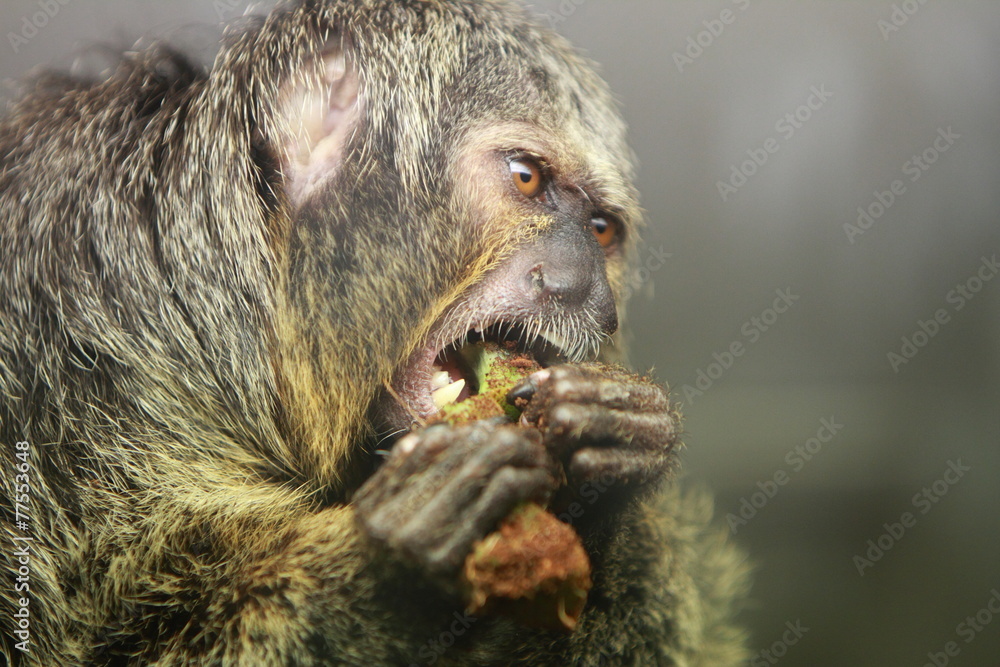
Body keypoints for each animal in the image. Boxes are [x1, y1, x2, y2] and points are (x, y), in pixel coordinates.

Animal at [0, 0, 749, 664]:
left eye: (601, 229)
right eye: (526, 177)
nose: (586, 288)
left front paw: (613, 464)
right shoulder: (78, 377)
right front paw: (393, 562)